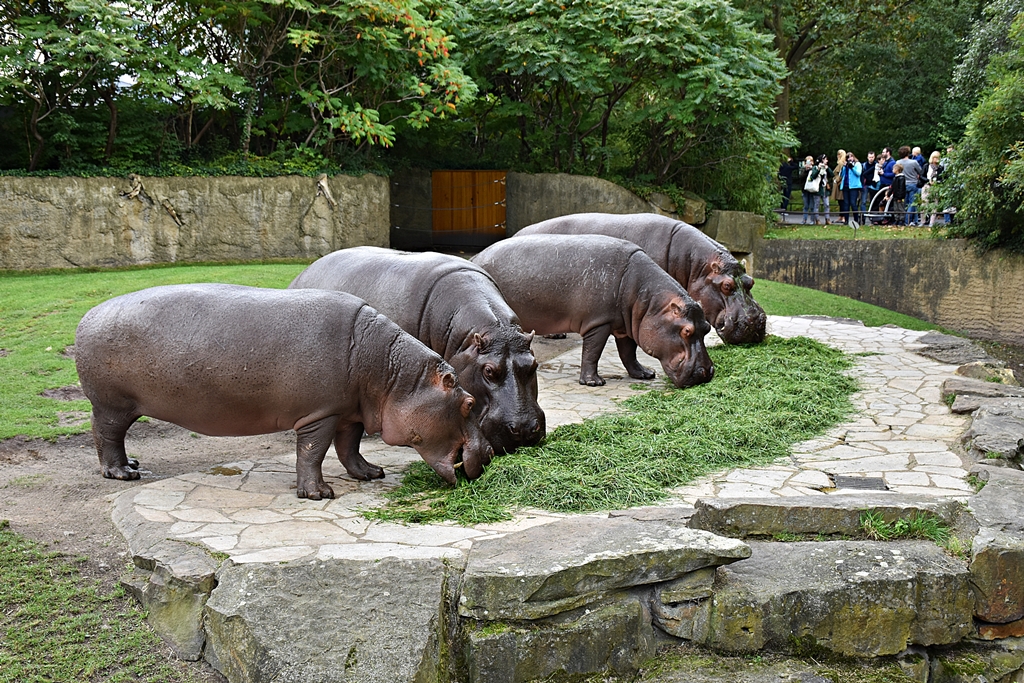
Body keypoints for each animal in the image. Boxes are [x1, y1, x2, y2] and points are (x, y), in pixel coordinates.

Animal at [74, 284, 493, 497]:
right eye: (470, 402)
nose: (490, 452)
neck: (396, 374)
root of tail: (87, 316)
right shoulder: (321, 413)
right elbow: (312, 453)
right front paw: (320, 494)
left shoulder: (348, 411)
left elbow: (350, 448)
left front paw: (371, 474)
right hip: (112, 405)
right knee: (106, 436)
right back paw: (122, 474)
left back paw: (132, 465)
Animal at [472, 235, 714, 388]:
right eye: (686, 331)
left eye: (707, 327)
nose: (706, 372)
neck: (648, 300)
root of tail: (476, 256)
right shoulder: (599, 322)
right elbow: (592, 352)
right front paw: (593, 382)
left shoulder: (625, 325)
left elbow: (628, 353)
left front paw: (645, 374)